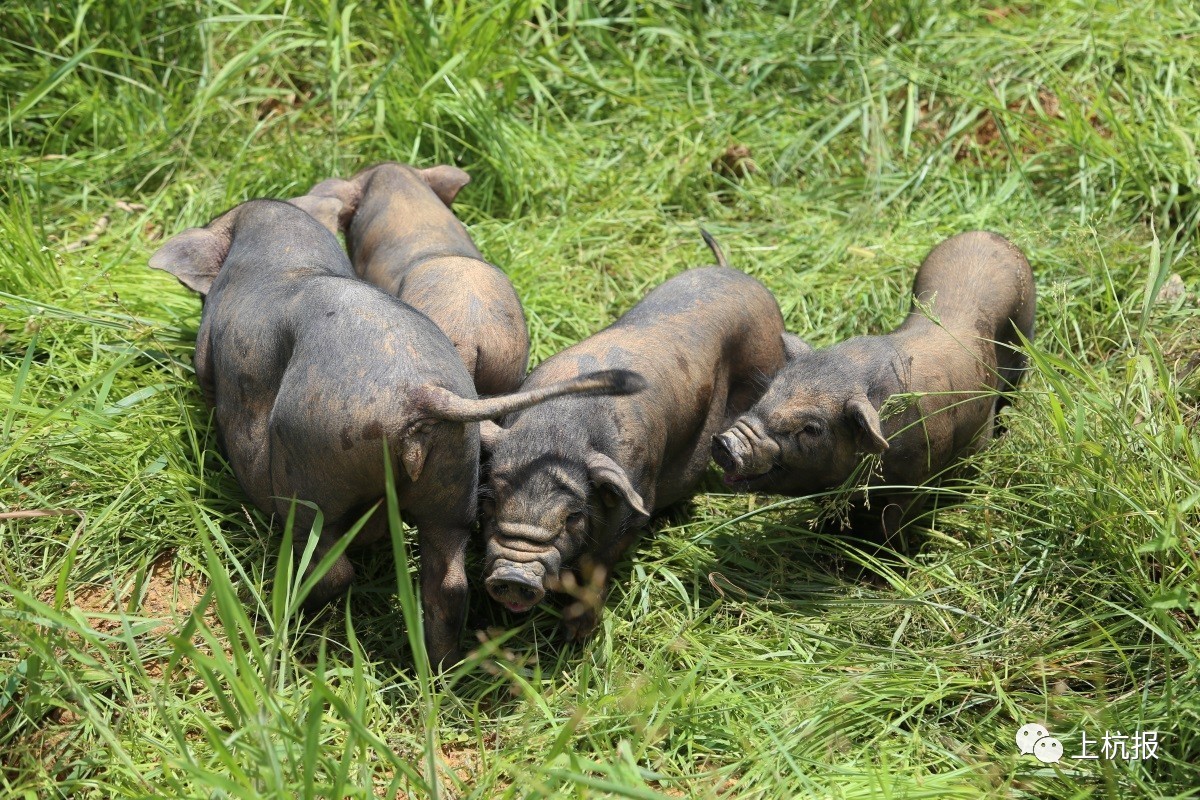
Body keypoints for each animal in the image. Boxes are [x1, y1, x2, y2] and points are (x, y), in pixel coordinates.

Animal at [151, 196, 648, 666]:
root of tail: (421, 392)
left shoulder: (208, 351)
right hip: (455, 477)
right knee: (449, 580)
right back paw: (439, 666)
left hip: (313, 467)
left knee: (329, 558)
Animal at [477, 235, 796, 642]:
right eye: (490, 500)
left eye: (573, 516)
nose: (515, 576)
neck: (556, 428)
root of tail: (736, 272)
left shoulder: (631, 509)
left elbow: (597, 571)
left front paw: (575, 638)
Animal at [705, 231, 1036, 544]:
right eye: (768, 392)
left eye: (812, 429)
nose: (724, 443)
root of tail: (989, 235)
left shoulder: (918, 478)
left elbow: (894, 520)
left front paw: (888, 553)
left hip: (1022, 346)